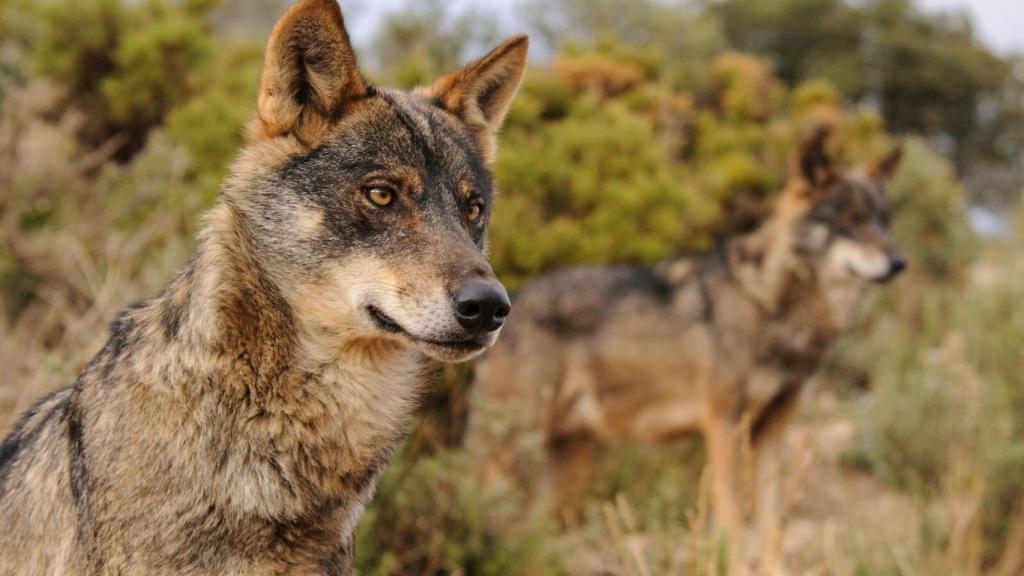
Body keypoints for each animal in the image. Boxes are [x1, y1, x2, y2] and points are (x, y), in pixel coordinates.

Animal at [466, 127, 905, 570]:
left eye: (884, 221)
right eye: (849, 220)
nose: (899, 262)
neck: (772, 304)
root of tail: (510, 302)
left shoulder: (772, 433)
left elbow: (772, 525)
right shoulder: (725, 425)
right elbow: (733, 519)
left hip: (566, 462)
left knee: (527, 536)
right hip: (509, 451)